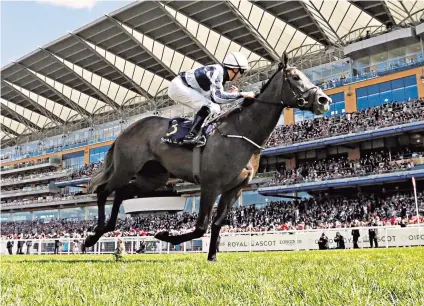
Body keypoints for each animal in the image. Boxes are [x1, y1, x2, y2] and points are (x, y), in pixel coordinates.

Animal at [85, 56, 332, 262]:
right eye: (295, 77)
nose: (324, 100)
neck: (242, 131)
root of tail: (125, 131)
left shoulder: (234, 189)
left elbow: (217, 223)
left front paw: (212, 256)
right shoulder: (210, 185)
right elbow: (200, 226)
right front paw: (165, 235)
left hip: (152, 178)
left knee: (121, 193)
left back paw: (105, 229)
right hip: (126, 167)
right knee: (104, 191)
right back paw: (92, 236)